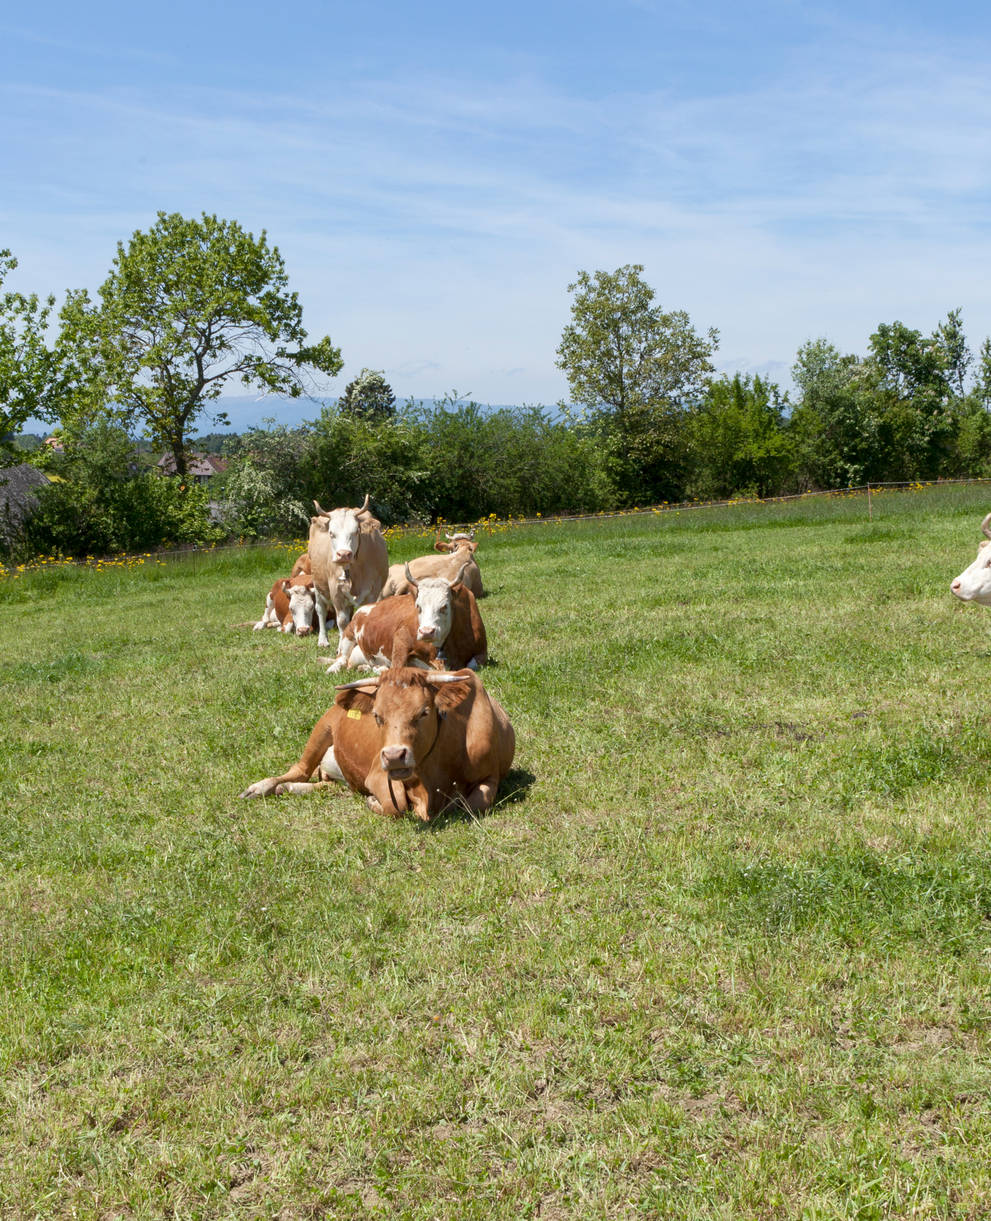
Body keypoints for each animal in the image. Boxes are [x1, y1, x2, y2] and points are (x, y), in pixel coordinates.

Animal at [309, 493, 390, 654]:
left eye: (356, 531)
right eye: (331, 533)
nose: (344, 554)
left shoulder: (373, 590)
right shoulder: (335, 589)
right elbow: (341, 621)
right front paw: (342, 648)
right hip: (317, 583)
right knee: (320, 610)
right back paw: (323, 640)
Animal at [327, 564, 485, 678]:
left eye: (444, 606)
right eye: (418, 606)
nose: (426, 632)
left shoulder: (481, 652)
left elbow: (473, 665)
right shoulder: (401, 637)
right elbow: (398, 667)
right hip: (348, 634)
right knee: (342, 659)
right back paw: (333, 669)